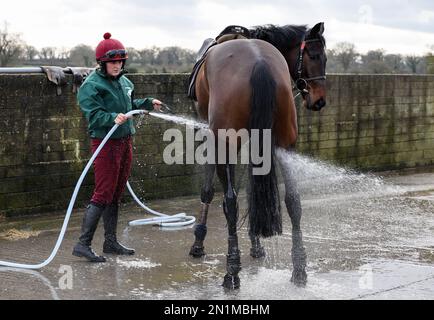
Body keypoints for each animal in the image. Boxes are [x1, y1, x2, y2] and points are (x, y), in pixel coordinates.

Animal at [188, 21, 328, 288]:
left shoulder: (214, 135)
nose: (319, 101)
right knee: (293, 200)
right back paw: (299, 268)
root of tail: (259, 62)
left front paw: (199, 241)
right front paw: (256, 243)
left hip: (228, 141)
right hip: (286, 143)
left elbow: (210, 189)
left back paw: (232, 271)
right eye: (314, 56)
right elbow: (255, 192)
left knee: (230, 202)